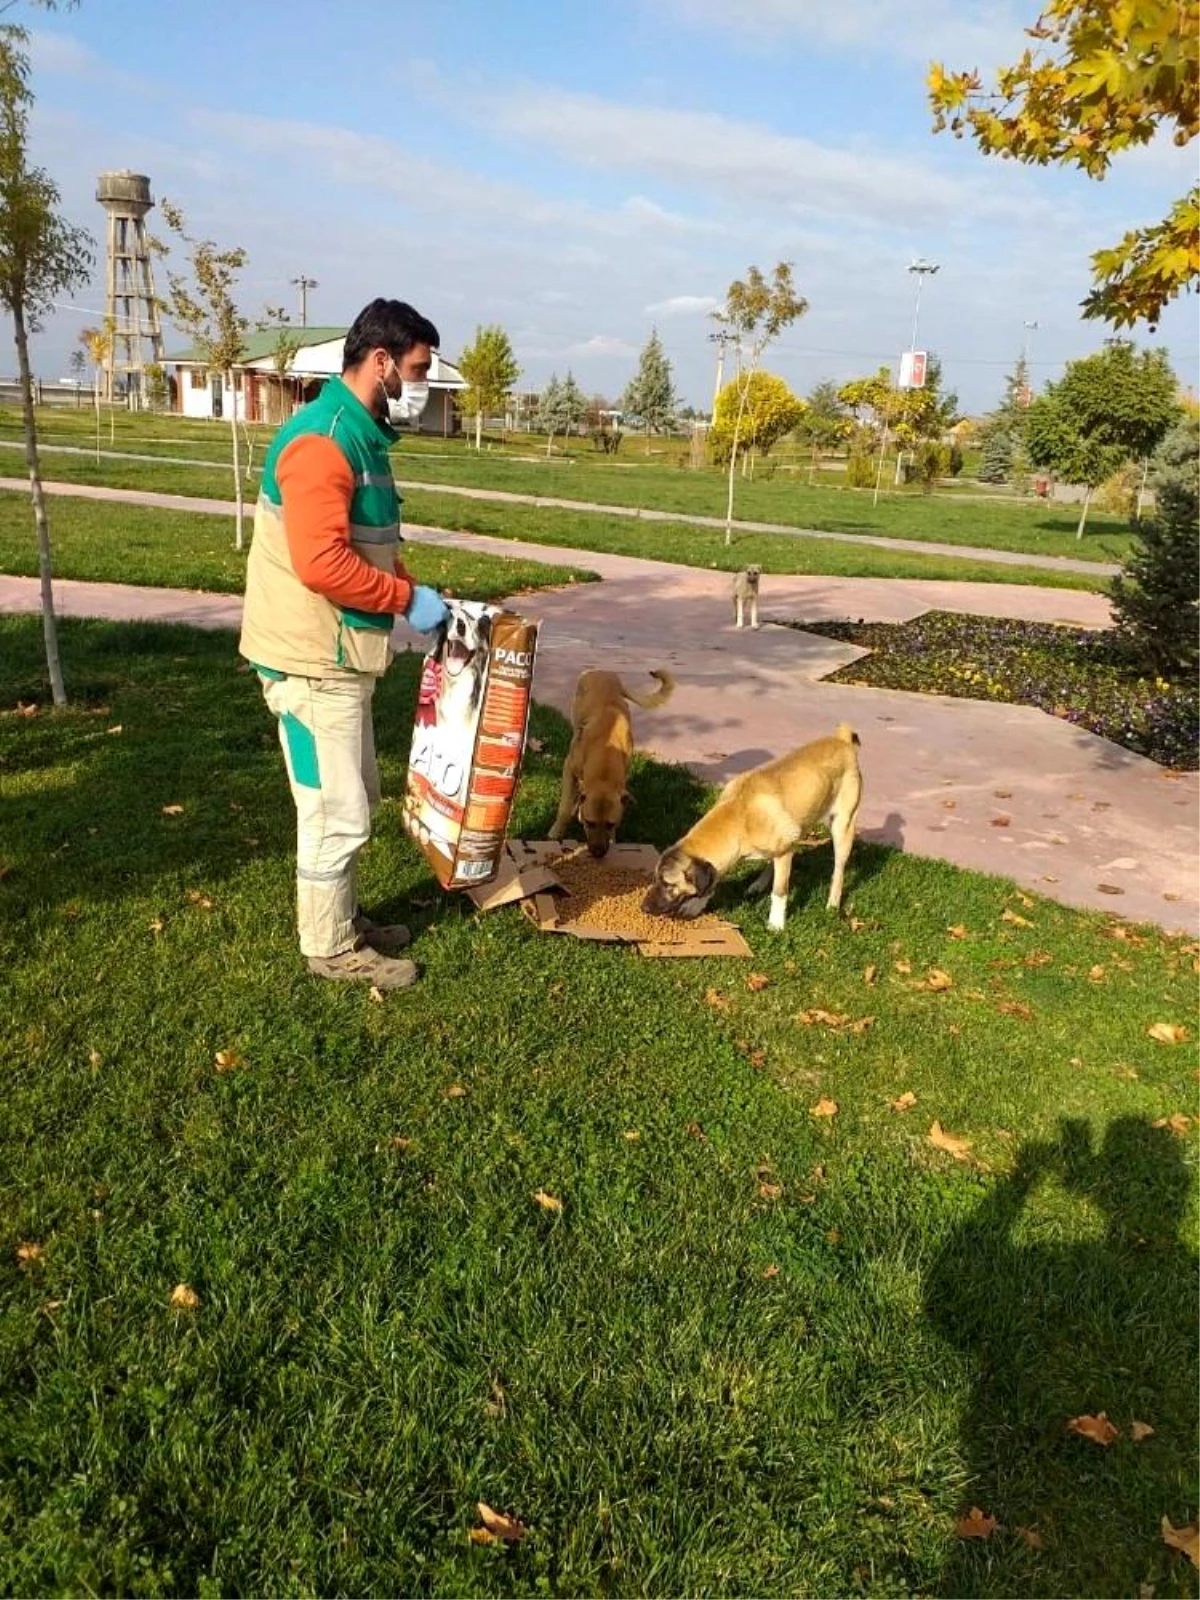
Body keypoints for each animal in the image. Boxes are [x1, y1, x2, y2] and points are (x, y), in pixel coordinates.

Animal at [553, 665, 678, 857]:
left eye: (611, 824)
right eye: (589, 823)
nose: (598, 852)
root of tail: (604, 672)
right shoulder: (569, 768)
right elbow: (565, 808)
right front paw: (556, 832)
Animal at [649, 723, 864, 934]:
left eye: (668, 884)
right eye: (656, 879)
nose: (645, 907)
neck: (739, 817)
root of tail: (843, 740)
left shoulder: (785, 853)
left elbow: (779, 891)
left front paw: (776, 924)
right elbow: (712, 882)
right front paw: (695, 905)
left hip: (842, 827)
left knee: (838, 870)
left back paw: (832, 904)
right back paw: (758, 884)